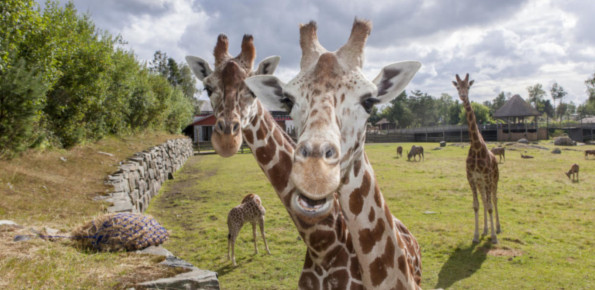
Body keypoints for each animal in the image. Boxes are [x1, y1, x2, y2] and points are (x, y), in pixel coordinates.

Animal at [454, 73, 500, 244]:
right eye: (458, 87)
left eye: (468, 86)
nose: (463, 96)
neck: (475, 146)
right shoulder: (472, 178)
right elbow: (476, 205)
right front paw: (475, 236)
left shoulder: (487, 177)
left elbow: (490, 206)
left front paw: (494, 238)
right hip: (481, 183)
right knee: (485, 200)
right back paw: (485, 230)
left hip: (494, 180)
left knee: (494, 199)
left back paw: (497, 229)